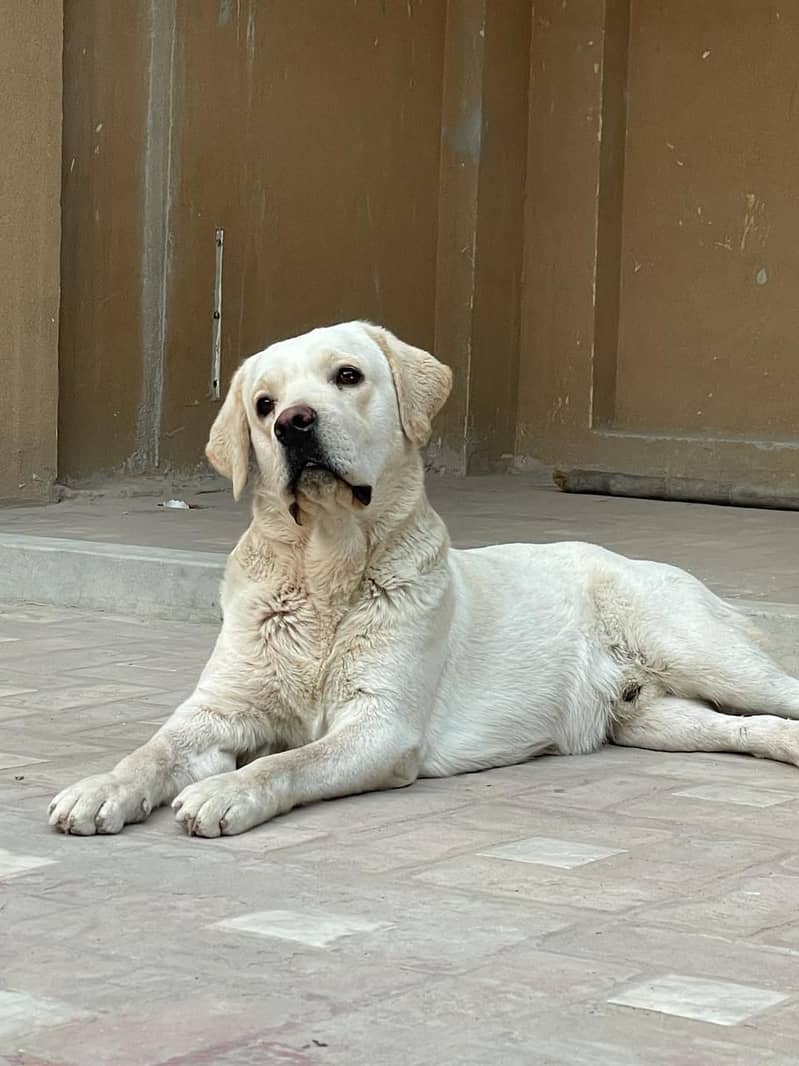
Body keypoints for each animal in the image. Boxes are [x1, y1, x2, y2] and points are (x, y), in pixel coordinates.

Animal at [50, 319, 799, 835]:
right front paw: (101, 786)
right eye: (263, 405)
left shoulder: (380, 725)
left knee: (777, 692)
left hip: (704, 652)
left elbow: (285, 761)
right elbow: (153, 747)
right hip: (650, 716)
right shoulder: (218, 711)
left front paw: (225, 791)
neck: (325, 572)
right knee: (743, 728)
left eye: (347, 376)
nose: (294, 423)